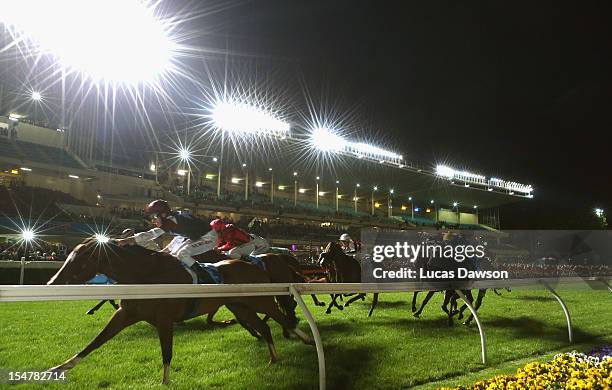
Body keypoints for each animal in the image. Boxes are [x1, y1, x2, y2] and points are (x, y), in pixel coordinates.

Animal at [46, 238, 314, 384]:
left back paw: (306, 338)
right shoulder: (125, 314)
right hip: (239, 306)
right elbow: (95, 342)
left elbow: (167, 352)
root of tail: (255, 264)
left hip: (259, 300)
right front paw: (58, 368)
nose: (51, 282)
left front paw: (165, 382)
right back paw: (273, 358)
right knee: (265, 326)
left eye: (79, 260)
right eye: (69, 255)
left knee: (282, 317)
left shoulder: (165, 318)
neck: (147, 276)